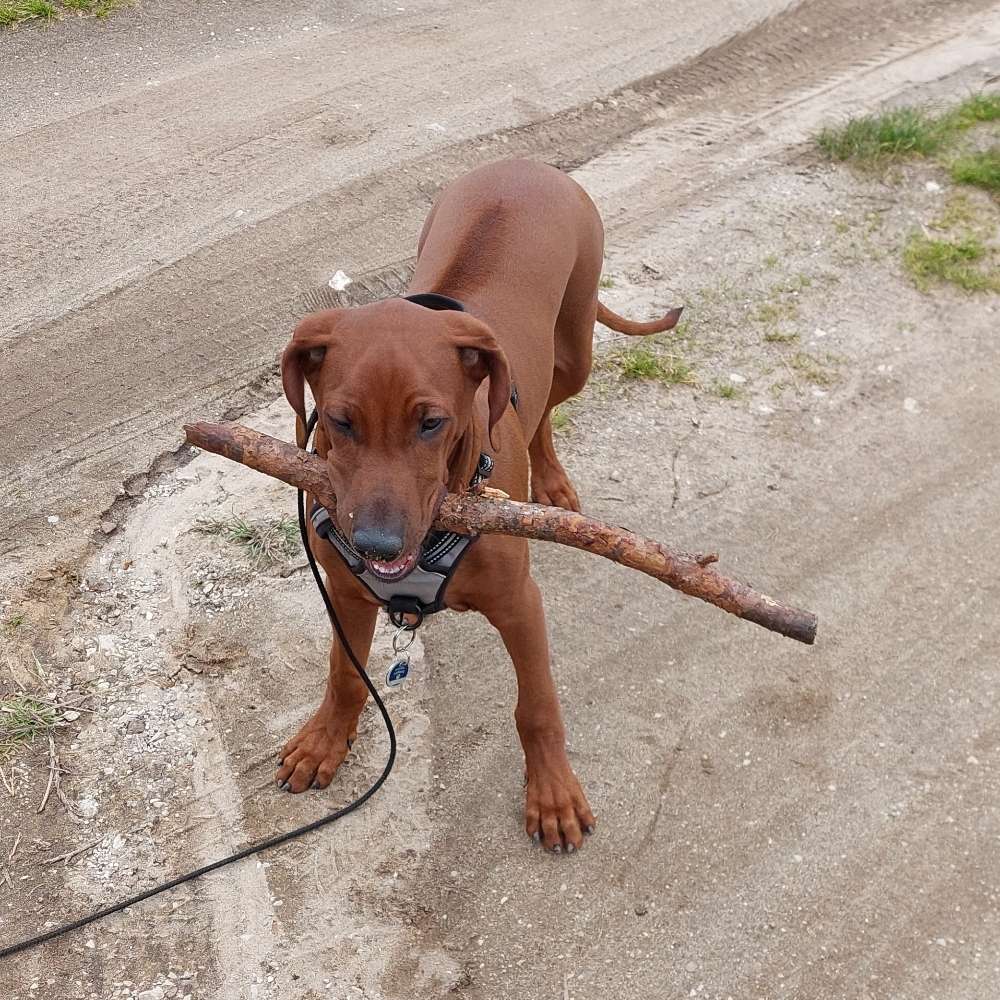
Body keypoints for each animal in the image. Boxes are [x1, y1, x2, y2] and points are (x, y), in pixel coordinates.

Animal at [278, 156, 680, 852]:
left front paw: (553, 794)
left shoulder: (520, 604)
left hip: (574, 346)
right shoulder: (347, 594)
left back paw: (551, 485)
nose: (377, 545)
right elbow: (344, 672)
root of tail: (530, 164)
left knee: (543, 405)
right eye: (338, 421)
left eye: (432, 423)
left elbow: (537, 706)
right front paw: (325, 739)